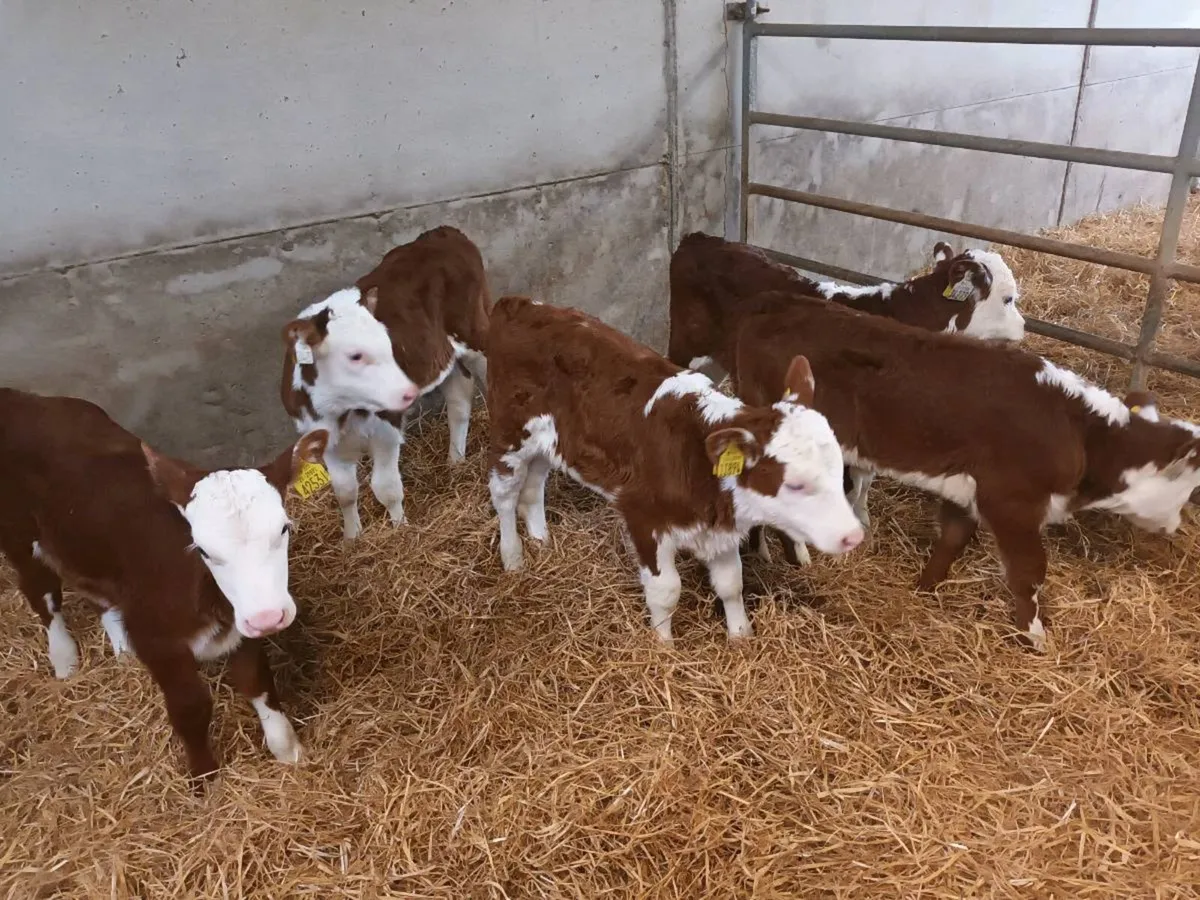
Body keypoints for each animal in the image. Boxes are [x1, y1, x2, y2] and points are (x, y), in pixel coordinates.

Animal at [0, 387, 328, 786]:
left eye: (283, 528)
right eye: (202, 549)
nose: (268, 617)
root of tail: (18, 398)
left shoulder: (240, 623)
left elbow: (258, 683)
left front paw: (288, 751)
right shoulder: (158, 640)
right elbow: (190, 706)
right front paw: (204, 778)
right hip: (18, 533)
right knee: (42, 594)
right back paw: (64, 659)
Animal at [282, 226, 490, 541]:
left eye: (388, 343)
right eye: (355, 355)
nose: (408, 392)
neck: (339, 409)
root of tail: (441, 232)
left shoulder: (387, 428)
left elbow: (386, 488)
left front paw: (400, 529)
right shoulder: (322, 437)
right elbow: (345, 492)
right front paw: (352, 538)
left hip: (475, 332)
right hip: (444, 355)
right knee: (459, 397)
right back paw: (455, 460)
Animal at [484, 296, 864, 644]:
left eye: (838, 472)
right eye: (796, 485)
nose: (854, 536)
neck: (695, 457)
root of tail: (518, 303)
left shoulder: (719, 527)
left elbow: (732, 584)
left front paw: (741, 637)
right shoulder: (642, 517)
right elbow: (666, 591)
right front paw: (663, 647)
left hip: (549, 443)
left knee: (533, 487)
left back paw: (541, 540)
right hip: (508, 434)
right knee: (504, 495)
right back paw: (513, 557)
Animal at [726, 293, 1200, 650]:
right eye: (1191, 488)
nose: (1175, 528)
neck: (1080, 432)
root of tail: (776, 302)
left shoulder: (967, 489)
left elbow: (952, 539)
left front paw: (925, 588)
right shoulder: (1011, 502)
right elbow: (1029, 573)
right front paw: (1035, 636)